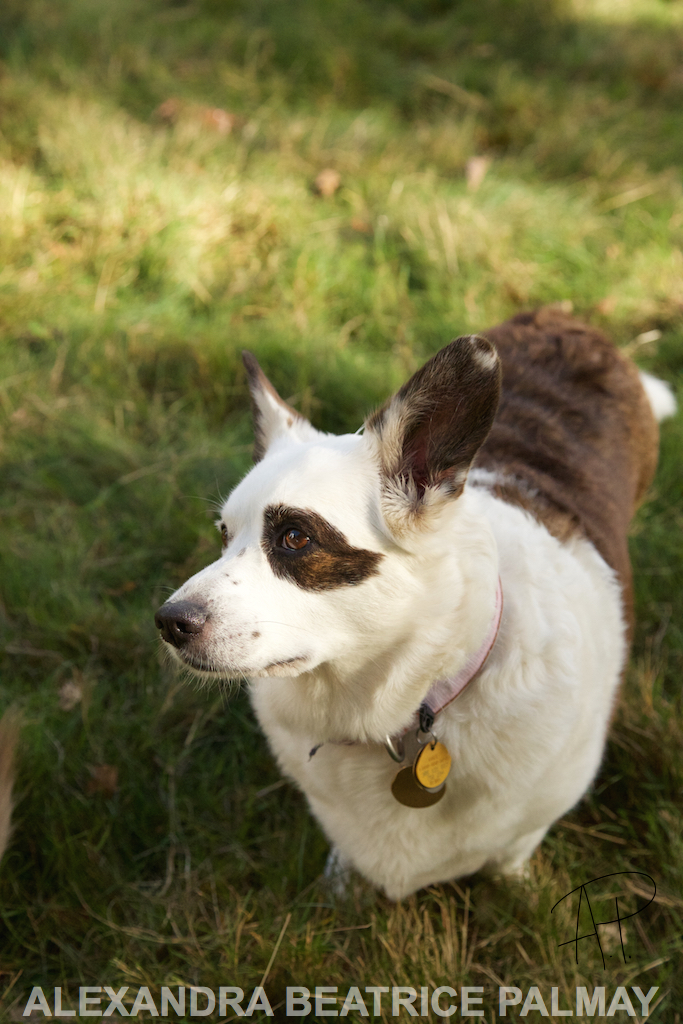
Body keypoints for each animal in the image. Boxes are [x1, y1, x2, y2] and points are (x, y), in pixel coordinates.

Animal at [157, 307, 675, 901]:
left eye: (294, 538)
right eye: (224, 534)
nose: (168, 623)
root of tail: (565, 318)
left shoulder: (531, 821)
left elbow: (509, 858)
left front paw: (514, 890)